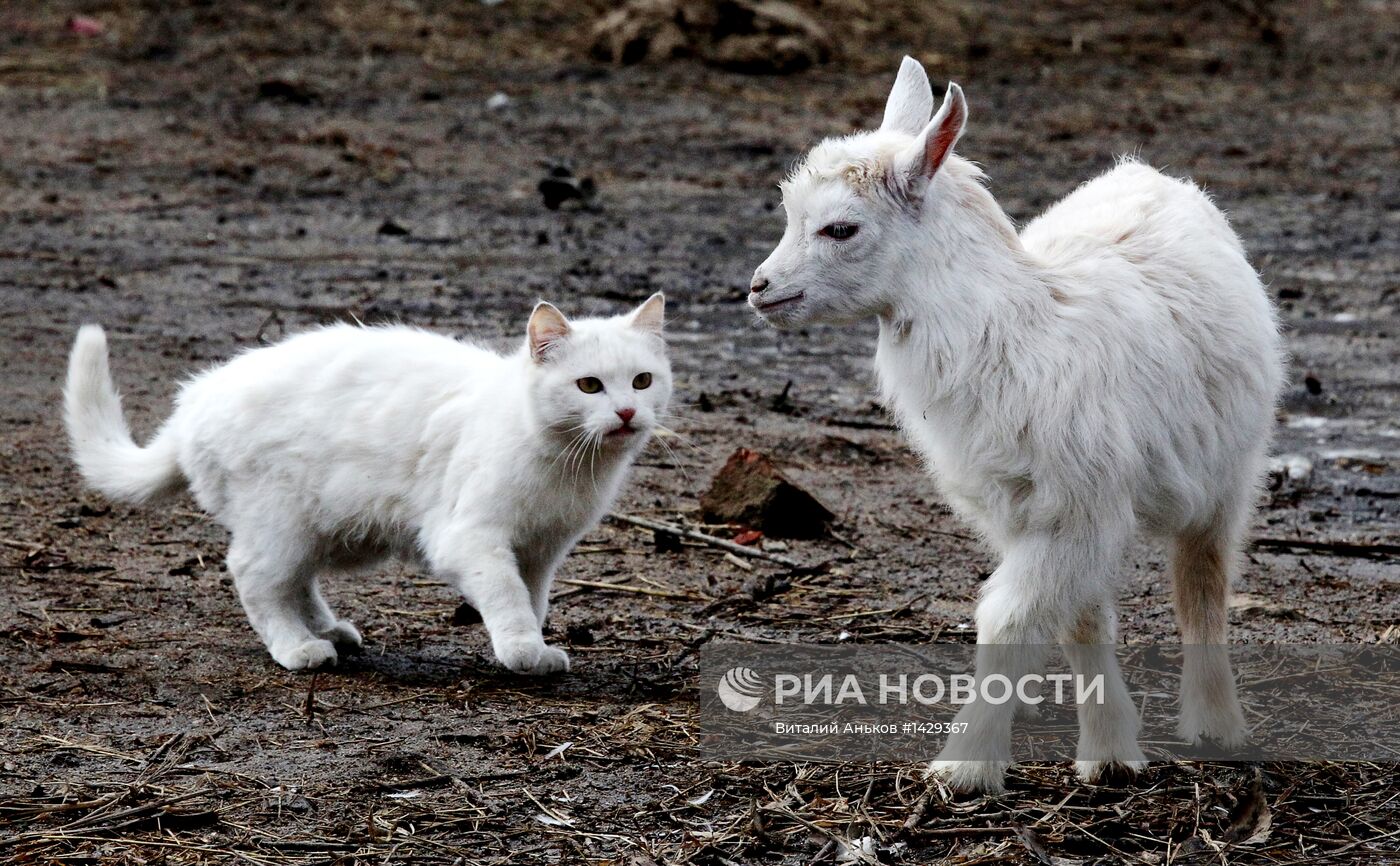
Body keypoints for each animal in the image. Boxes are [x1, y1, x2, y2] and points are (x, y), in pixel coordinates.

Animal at [65, 297, 672, 677]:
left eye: (643, 381)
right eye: (588, 386)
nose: (626, 412)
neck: (570, 463)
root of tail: (193, 402)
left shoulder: (542, 550)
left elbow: (533, 598)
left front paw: (535, 645)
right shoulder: (470, 538)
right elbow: (506, 596)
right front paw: (523, 651)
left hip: (315, 528)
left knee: (294, 581)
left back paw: (328, 630)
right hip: (280, 519)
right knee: (255, 578)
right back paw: (298, 647)